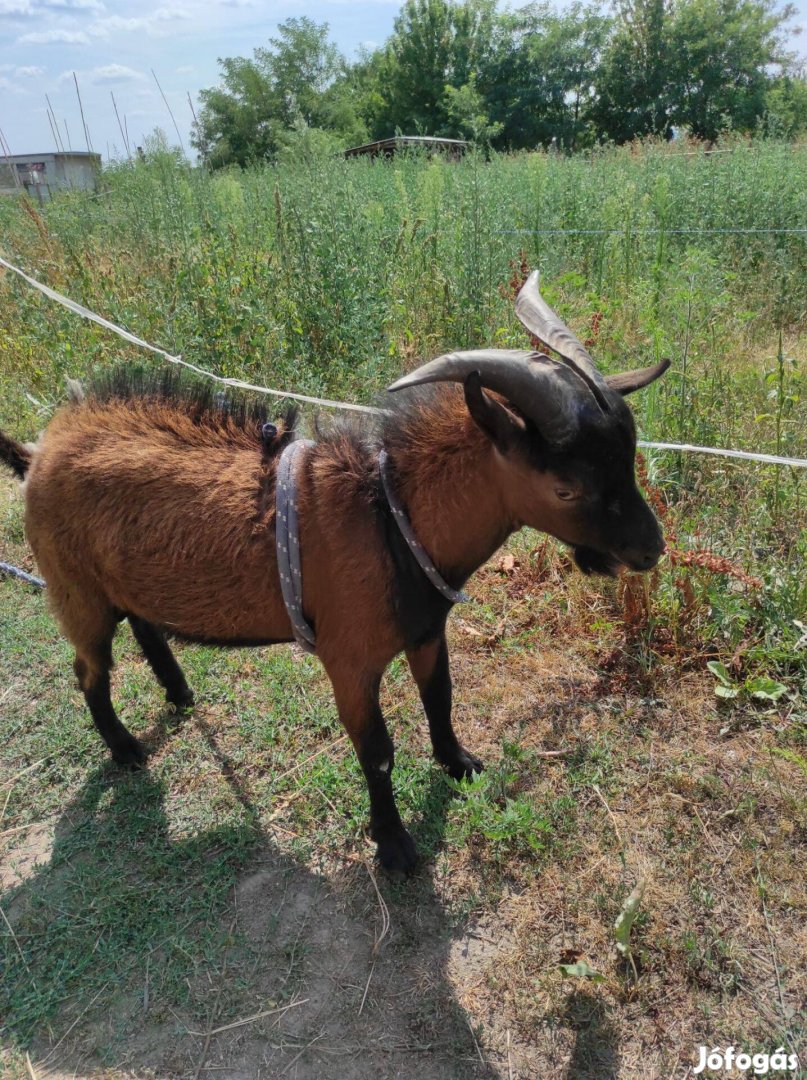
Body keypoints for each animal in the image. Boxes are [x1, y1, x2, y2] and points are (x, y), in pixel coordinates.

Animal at [0, 274, 669, 872]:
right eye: (567, 487)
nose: (651, 550)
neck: (391, 516)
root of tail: (40, 450)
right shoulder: (348, 661)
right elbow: (377, 752)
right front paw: (394, 847)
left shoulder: (427, 632)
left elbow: (440, 698)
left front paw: (459, 765)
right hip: (76, 593)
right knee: (89, 671)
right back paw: (126, 749)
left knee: (142, 625)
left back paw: (180, 693)